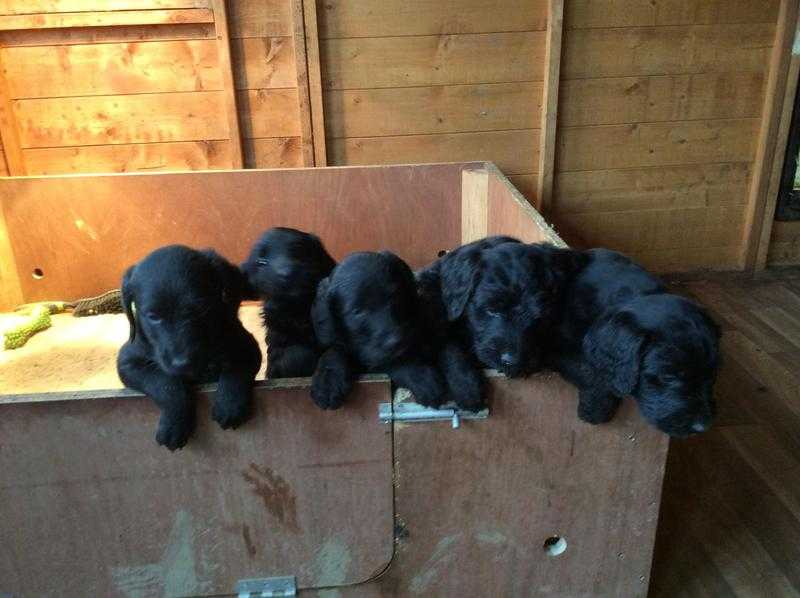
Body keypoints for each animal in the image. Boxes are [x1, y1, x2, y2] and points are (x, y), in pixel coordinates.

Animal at [117, 246, 260, 452]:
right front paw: (174, 424)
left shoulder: (248, 345)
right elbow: (165, 383)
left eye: (201, 308)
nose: (182, 363)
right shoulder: (128, 362)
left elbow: (238, 366)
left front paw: (229, 403)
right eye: (153, 317)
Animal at [308, 251, 444, 410]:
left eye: (395, 297)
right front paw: (327, 382)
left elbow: (394, 358)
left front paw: (420, 377)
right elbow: (335, 349)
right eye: (357, 312)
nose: (396, 341)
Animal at [552, 250, 720, 440]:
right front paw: (596, 408)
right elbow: (588, 371)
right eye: (668, 377)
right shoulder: (558, 344)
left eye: (713, 374)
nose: (702, 427)